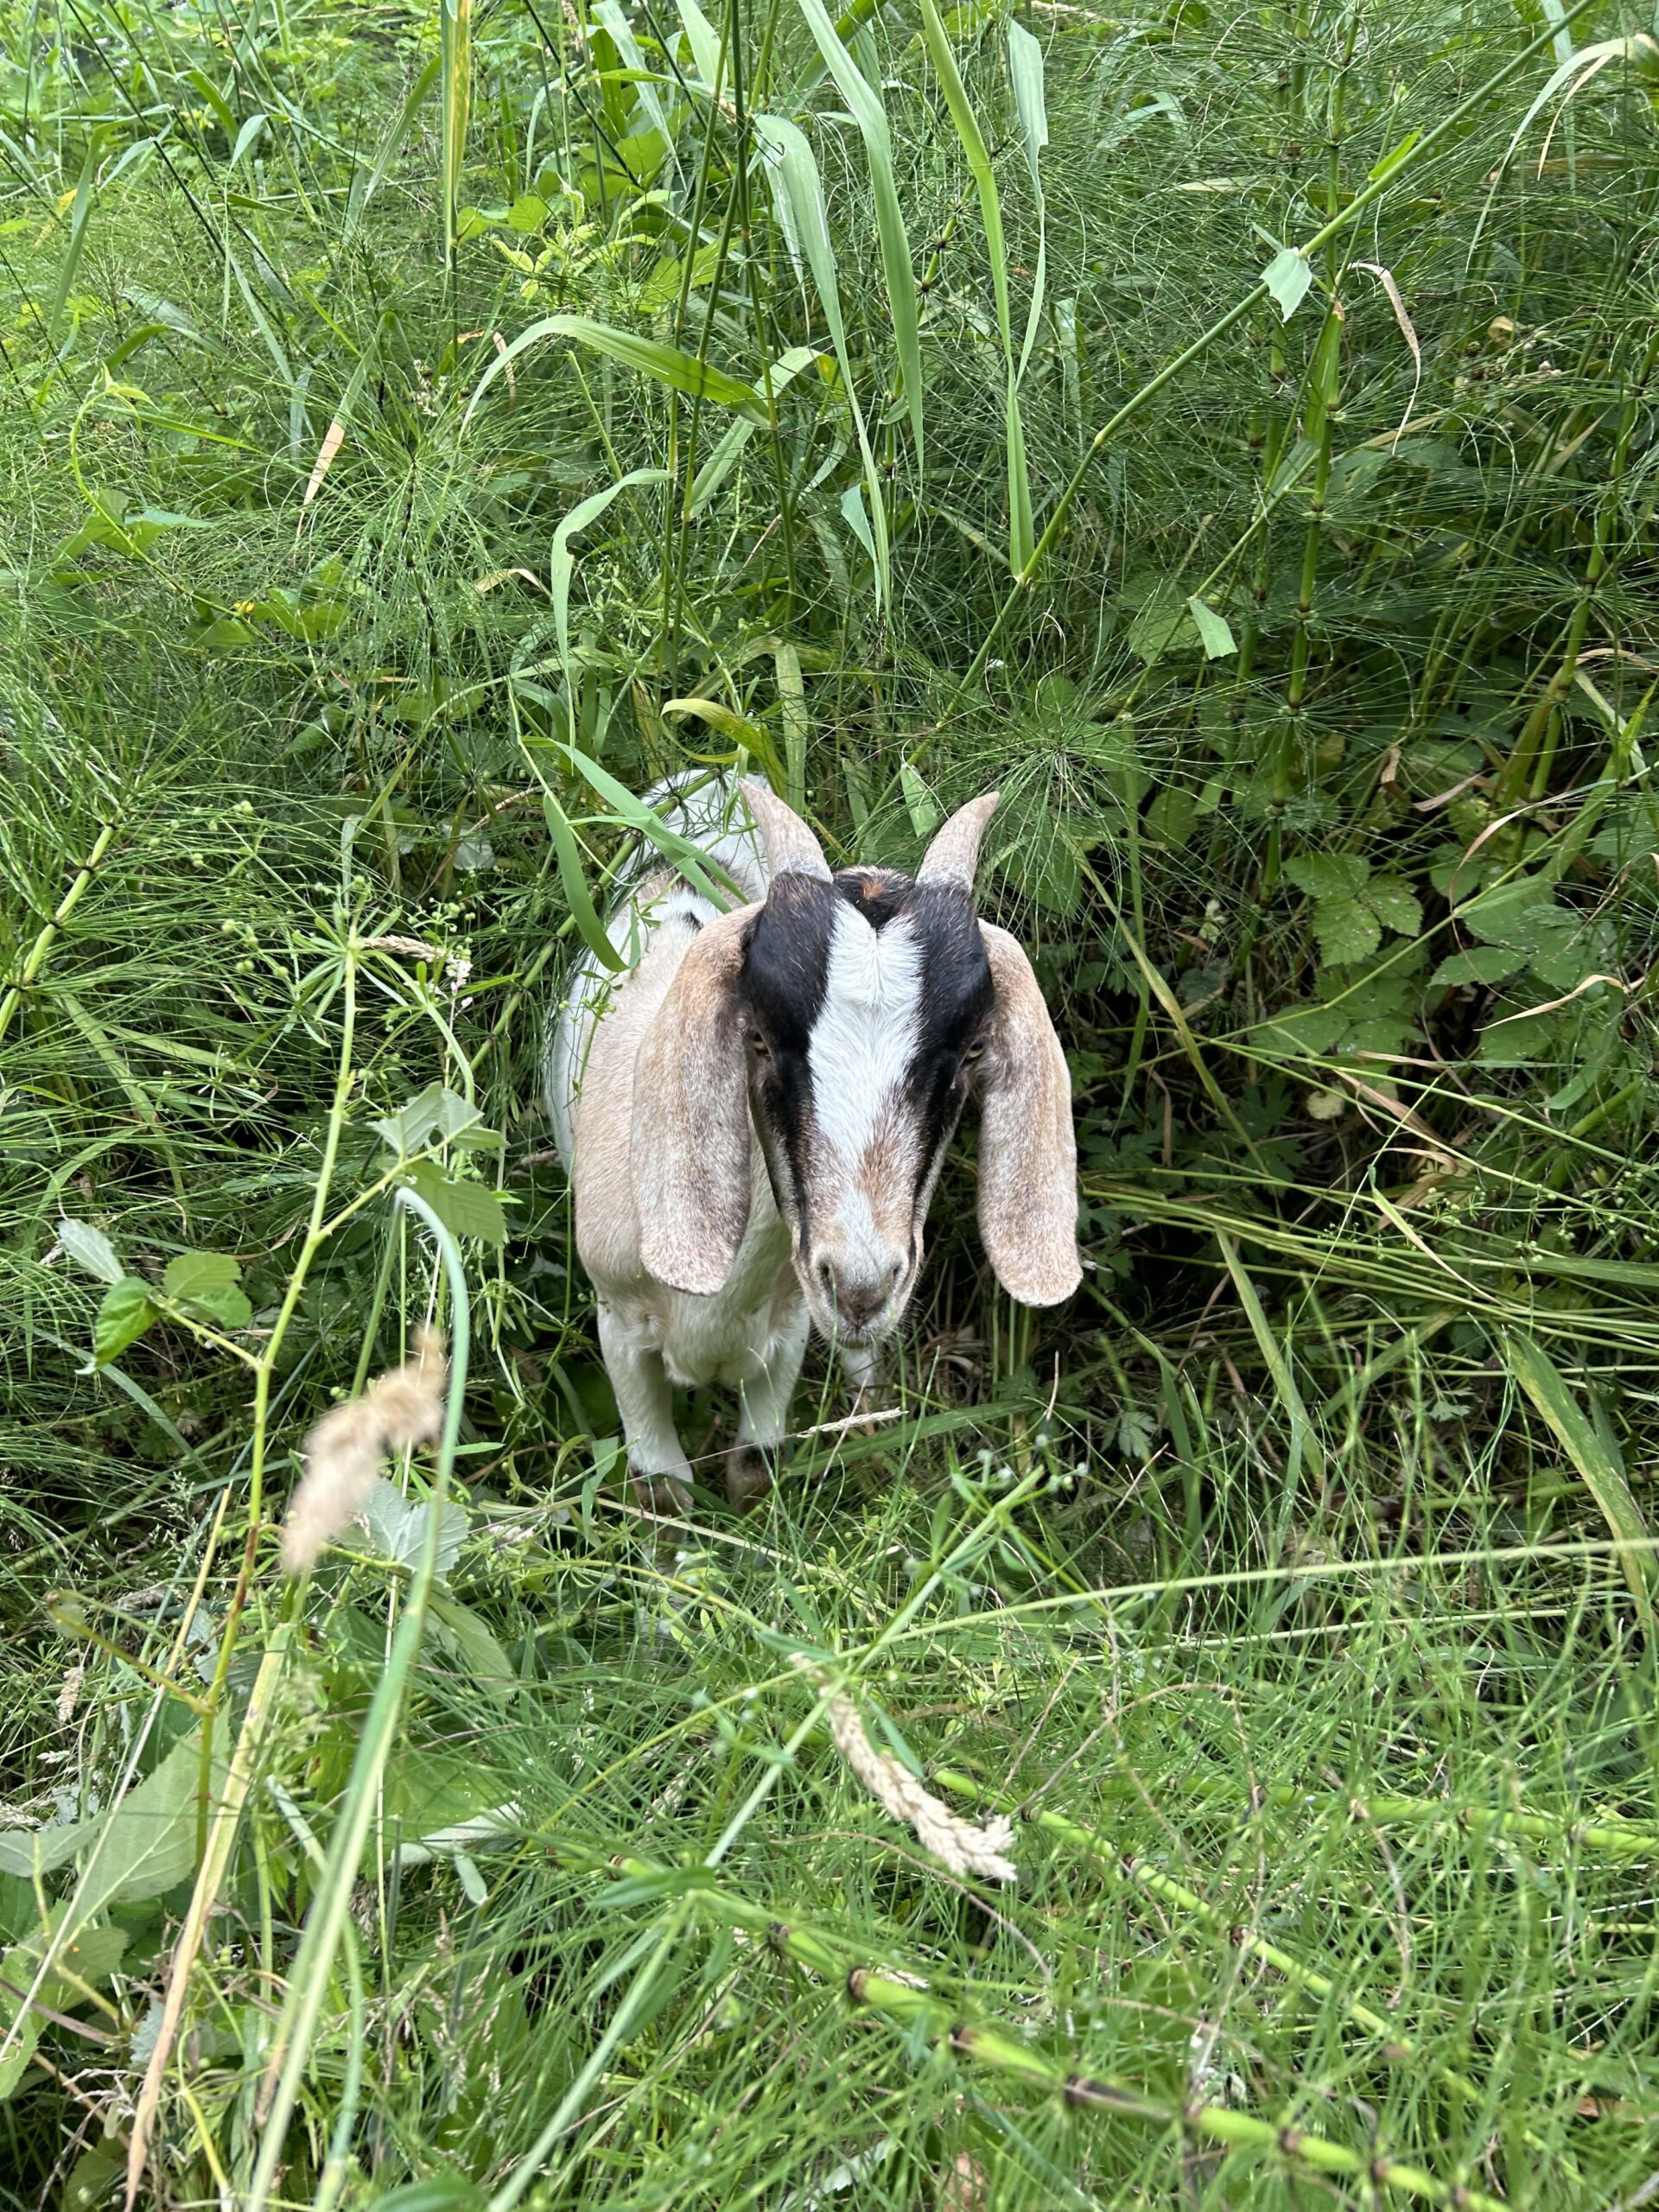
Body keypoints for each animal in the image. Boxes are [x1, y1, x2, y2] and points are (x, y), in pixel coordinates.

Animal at [546, 775, 1079, 1512]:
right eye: (759, 1037)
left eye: (974, 1048)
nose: (860, 1286)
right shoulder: (618, 1321)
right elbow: (664, 1495)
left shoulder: (791, 1326)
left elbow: (755, 1467)